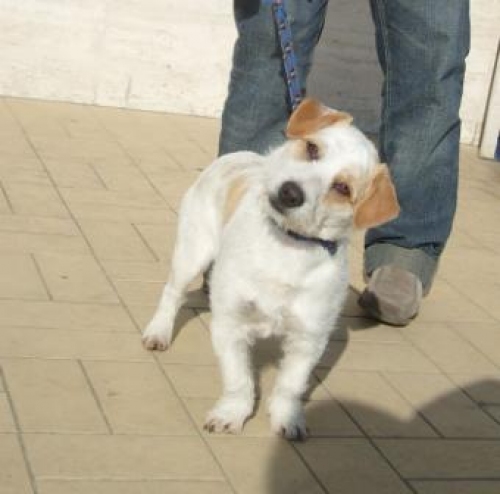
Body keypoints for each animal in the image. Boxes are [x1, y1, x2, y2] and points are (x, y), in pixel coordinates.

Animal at [143, 98, 400, 438]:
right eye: (312, 148)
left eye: (343, 188)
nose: (291, 192)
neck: (286, 246)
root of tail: (238, 155)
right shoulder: (231, 323)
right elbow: (238, 379)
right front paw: (231, 414)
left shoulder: (309, 339)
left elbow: (291, 385)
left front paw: (287, 419)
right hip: (191, 252)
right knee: (172, 293)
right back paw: (158, 331)